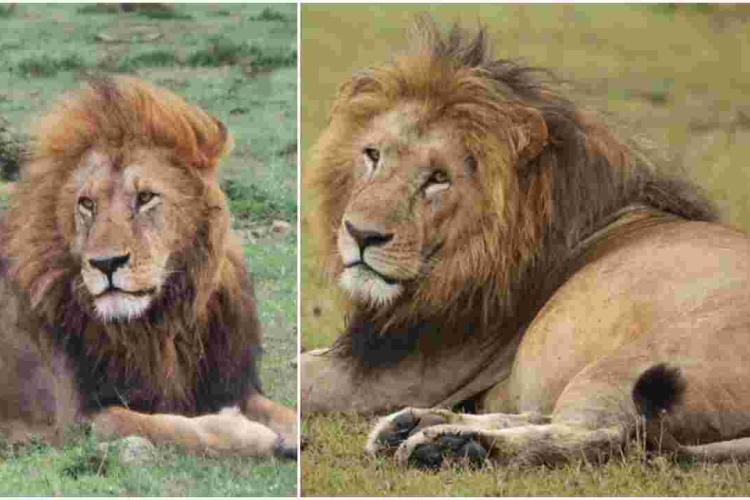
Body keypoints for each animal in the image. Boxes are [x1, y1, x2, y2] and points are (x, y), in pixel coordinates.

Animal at [0, 76, 297, 460]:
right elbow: (167, 426)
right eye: (87, 203)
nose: (106, 263)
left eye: (145, 198)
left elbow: (282, 411)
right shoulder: (75, 421)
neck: (162, 323)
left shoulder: (225, 383)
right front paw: (250, 434)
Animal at [300, 17, 750, 468]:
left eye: (439, 178)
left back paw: (452, 445)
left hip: (629, 364)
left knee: (606, 434)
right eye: (373, 155)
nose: (360, 234)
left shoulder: (393, 377)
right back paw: (415, 426)